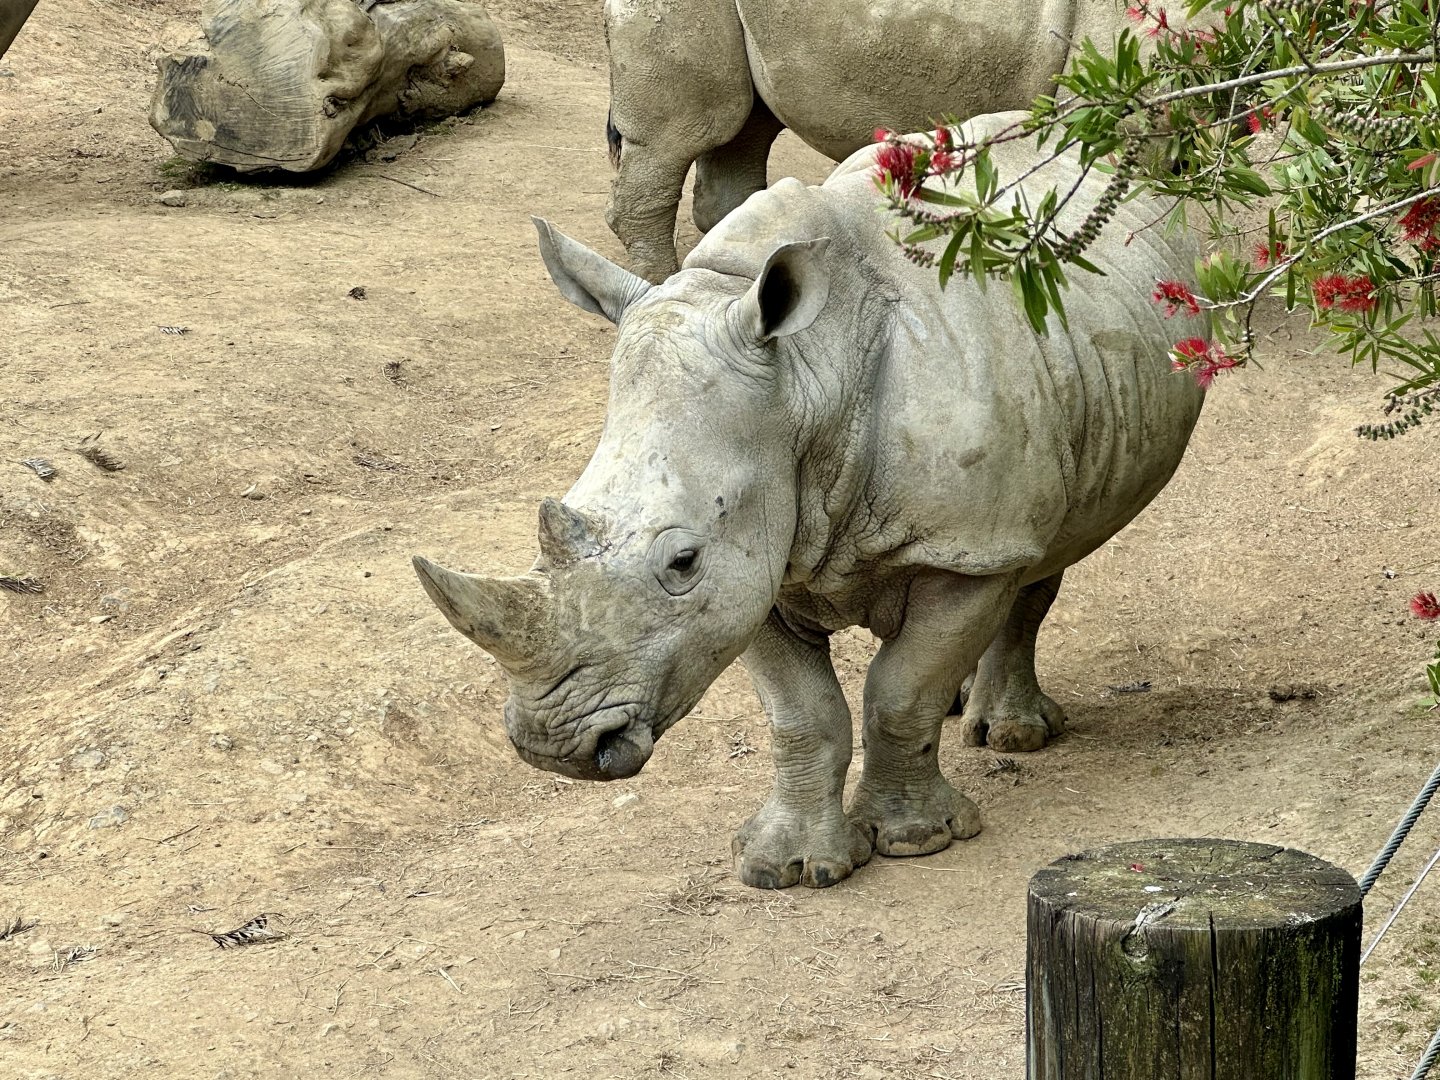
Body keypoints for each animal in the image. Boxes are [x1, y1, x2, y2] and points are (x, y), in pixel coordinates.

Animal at [415, 112, 1207, 888]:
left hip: (1039, 449)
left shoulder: (959, 543)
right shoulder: (756, 557)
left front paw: (917, 841)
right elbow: (802, 715)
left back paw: (1009, 734)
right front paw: (787, 865)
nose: (553, 745)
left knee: (1041, 553)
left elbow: (899, 692)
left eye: (682, 562)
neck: (803, 379)